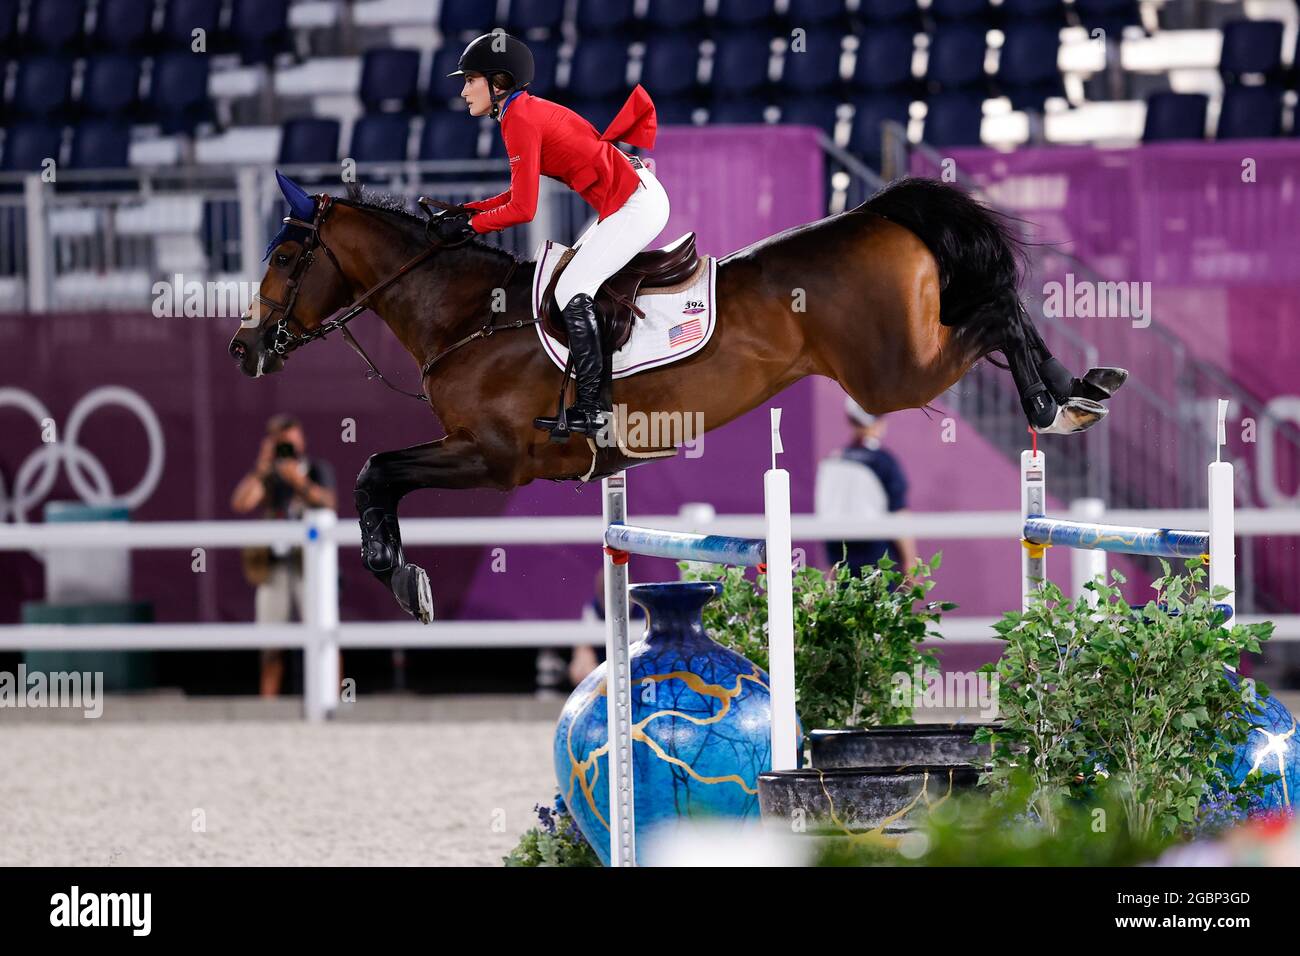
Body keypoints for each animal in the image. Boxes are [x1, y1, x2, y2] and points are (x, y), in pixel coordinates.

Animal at [228, 175, 1123, 624]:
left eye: (284, 259)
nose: (243, 349)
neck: (467, 314)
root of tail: (876, 212)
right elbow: (377, 473)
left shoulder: (494, 458)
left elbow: (374, 471)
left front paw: (401, 578)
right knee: (998, 311)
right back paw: (1079, 392)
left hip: (894, 373)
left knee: (994, 314)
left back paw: (1056, 402)